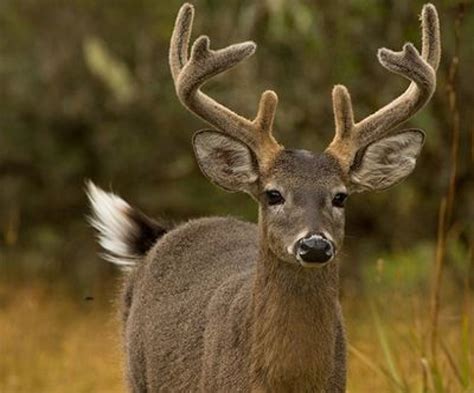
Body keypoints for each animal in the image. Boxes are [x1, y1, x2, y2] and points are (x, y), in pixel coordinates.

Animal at [88, 3, 440, 392]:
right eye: (273, 194)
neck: (288, 381)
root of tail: (167, 233)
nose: (314, 245)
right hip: (135, 370)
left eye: (341, 197)